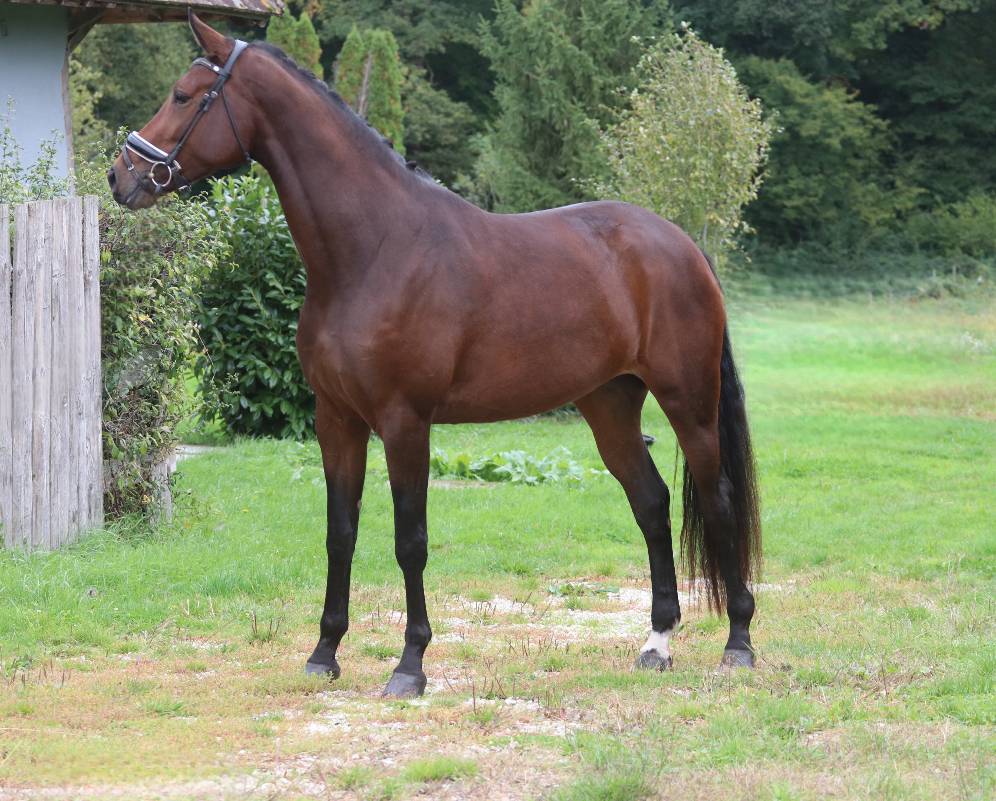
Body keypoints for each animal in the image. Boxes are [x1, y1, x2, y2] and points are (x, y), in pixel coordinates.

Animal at [109, 14, 761, 698]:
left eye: (184, 95)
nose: (121, 176)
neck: (375, 250)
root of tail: (681, 245)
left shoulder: (404, 422)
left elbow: (409, 540)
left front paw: (410, 664)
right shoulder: (336, 420)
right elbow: (340, 533)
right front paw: (324, 652)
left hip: (689, 403)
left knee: (717, 499)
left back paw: (738, 643)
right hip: (608, 406)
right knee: (652, 503)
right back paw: (657, 642)